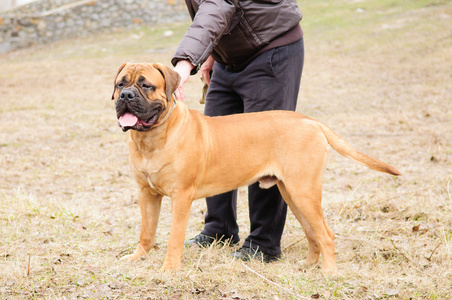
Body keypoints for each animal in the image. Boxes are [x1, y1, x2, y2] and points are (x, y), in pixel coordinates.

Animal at [111, 62, 400, 274]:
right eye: (120, 83)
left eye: (146, 85)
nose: (125, 95)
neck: (151, 140)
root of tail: (311, 121)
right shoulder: (146, 195)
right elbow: (146, 232)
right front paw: (137, 258)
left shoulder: (181, 197)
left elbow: (173, 237)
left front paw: (169, 269)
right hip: (292, 193)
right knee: (312, 233)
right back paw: (307, 265)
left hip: (303, 191)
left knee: (326, 234)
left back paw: (328, 272)